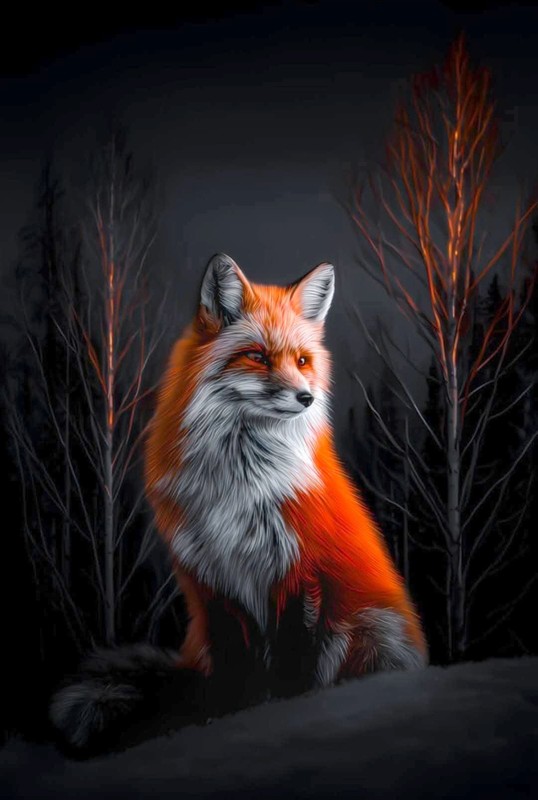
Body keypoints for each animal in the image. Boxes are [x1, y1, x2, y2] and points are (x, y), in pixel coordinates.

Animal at [50, 253, 427, 751]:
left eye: (302, 361)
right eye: (258, 357)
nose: (306, 398)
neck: (239, 485)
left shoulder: (298, 569)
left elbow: (292, 660)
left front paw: (289, 714)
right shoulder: (211, 577)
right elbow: (235, 667)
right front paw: (226, 720)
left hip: (365, 629)